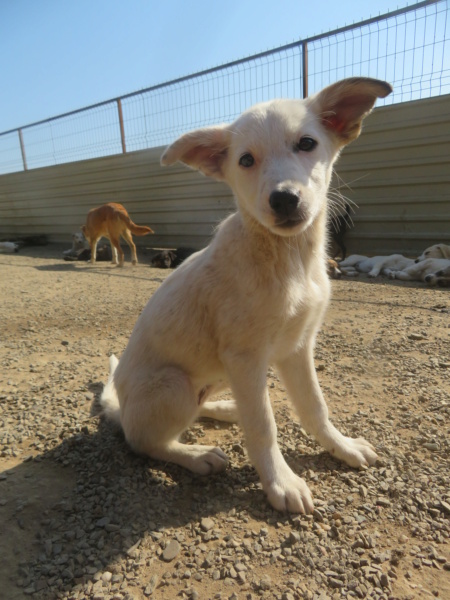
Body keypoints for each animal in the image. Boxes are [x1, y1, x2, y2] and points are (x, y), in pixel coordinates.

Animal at [100, 77, 392, 512]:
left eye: (307, 143)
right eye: (246, 161)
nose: (284, 199)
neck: (287, 259)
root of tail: (121, 408)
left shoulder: (297, 347)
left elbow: (315, 407)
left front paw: (340, 446)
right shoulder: (245, 357)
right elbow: (263, 426)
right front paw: (281, 483)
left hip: (216, 379)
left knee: (196, 410)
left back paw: (224, 409)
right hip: (174, 384)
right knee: (142, 442)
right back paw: (195, 455)